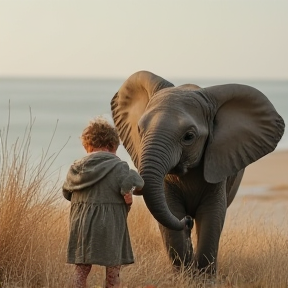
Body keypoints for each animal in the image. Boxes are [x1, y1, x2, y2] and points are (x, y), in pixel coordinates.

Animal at [109, 71, 284, 274]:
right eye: (139, 129)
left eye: (189, 137)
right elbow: (172, 213)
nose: (187, 221)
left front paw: (202, 277)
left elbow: (212, 216)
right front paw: (184, 276)